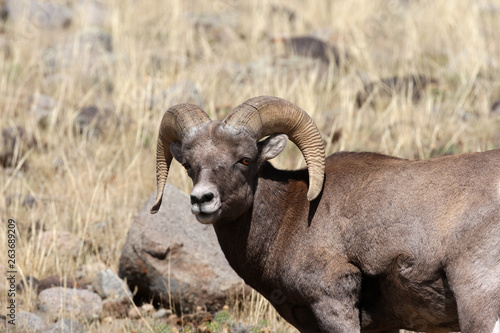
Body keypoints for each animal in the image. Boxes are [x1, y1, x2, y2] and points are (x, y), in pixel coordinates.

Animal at [151, 94, 500, 330]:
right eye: (189, 166)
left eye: (245, 159)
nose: (202, 199)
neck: (289, 218)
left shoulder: (333, 302)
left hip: (478, 303)